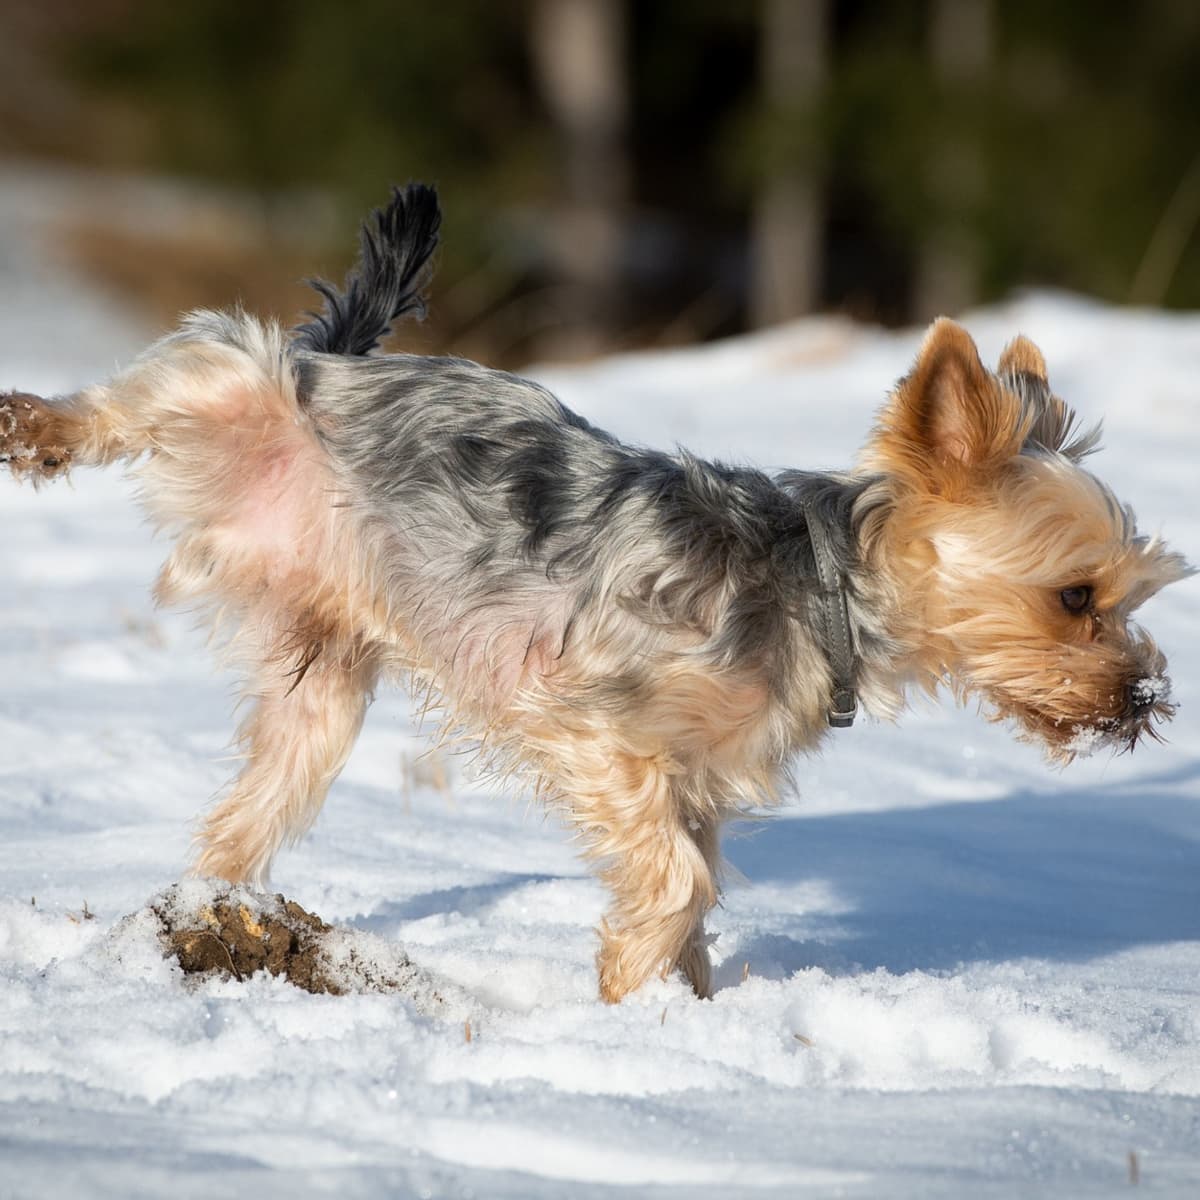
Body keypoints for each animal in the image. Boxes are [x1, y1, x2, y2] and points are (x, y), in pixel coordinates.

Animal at [2, 182, 1190, 998]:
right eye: (1077, 597)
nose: (1143, 700)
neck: (821, 589)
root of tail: (342, 359)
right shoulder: (594, 726)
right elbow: (678, 881)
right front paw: (628, 989)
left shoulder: (696, 783)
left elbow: (692, 887)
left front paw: (676, 1020)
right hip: (239, 385)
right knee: (170, 373)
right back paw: (38, 426)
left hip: (323, 690)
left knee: (245, 811)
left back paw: (207, 911)